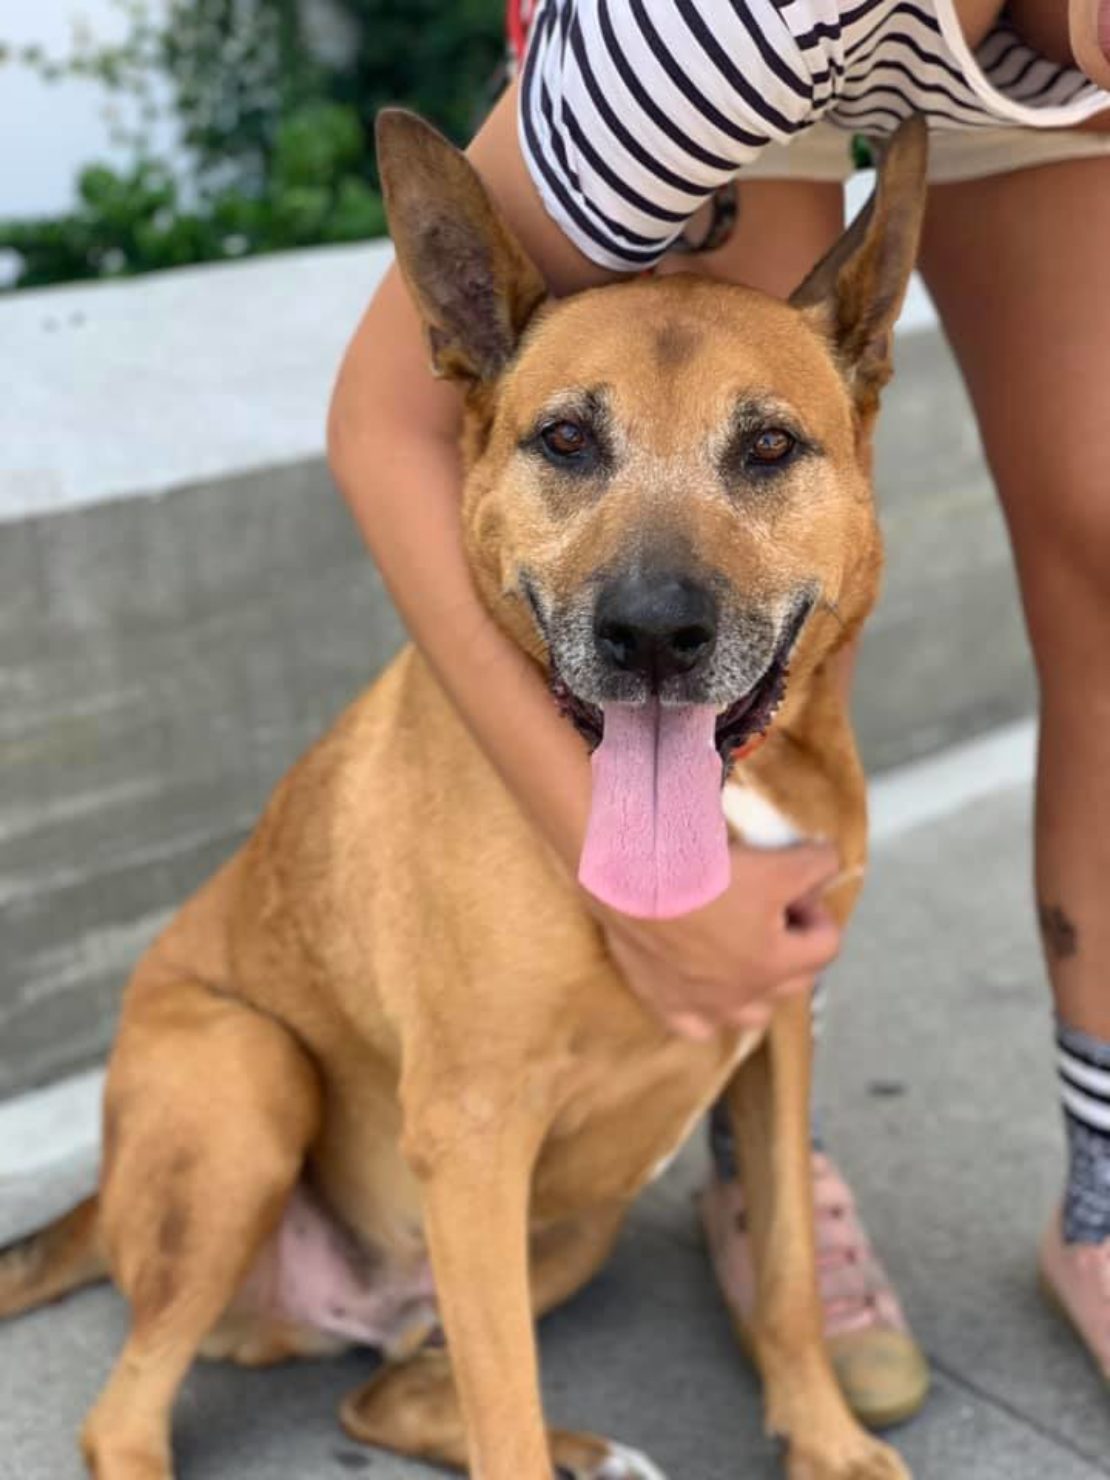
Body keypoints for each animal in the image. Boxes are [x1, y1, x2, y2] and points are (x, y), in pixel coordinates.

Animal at [0, 109, 929, 1474]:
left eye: (768, 446)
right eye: (566, 440)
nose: (653, 635)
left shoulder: (776, 1038)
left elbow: (790, 1278)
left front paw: (824, 1438)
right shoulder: (473, 1129)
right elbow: (505, 1412)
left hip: (564, 1223)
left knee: (382, 1391)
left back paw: (583, 1448)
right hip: (249, 1078)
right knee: (125, 1416)